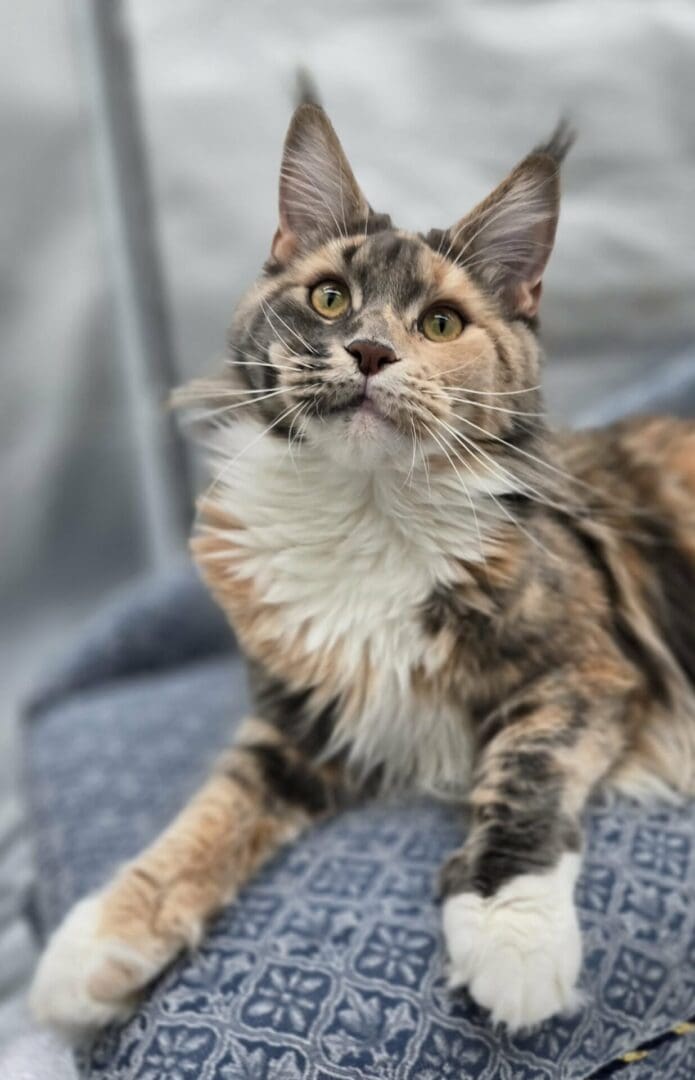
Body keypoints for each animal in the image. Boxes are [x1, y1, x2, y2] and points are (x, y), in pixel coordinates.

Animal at [31, 101, 695, 1037]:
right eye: (330, 298)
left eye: (441, 324)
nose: (372, 352)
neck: (366, 510)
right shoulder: (298, 723)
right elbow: (211, 811)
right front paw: (102, 937)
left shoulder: (587, 673)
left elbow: (524, 781)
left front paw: (510, 935)